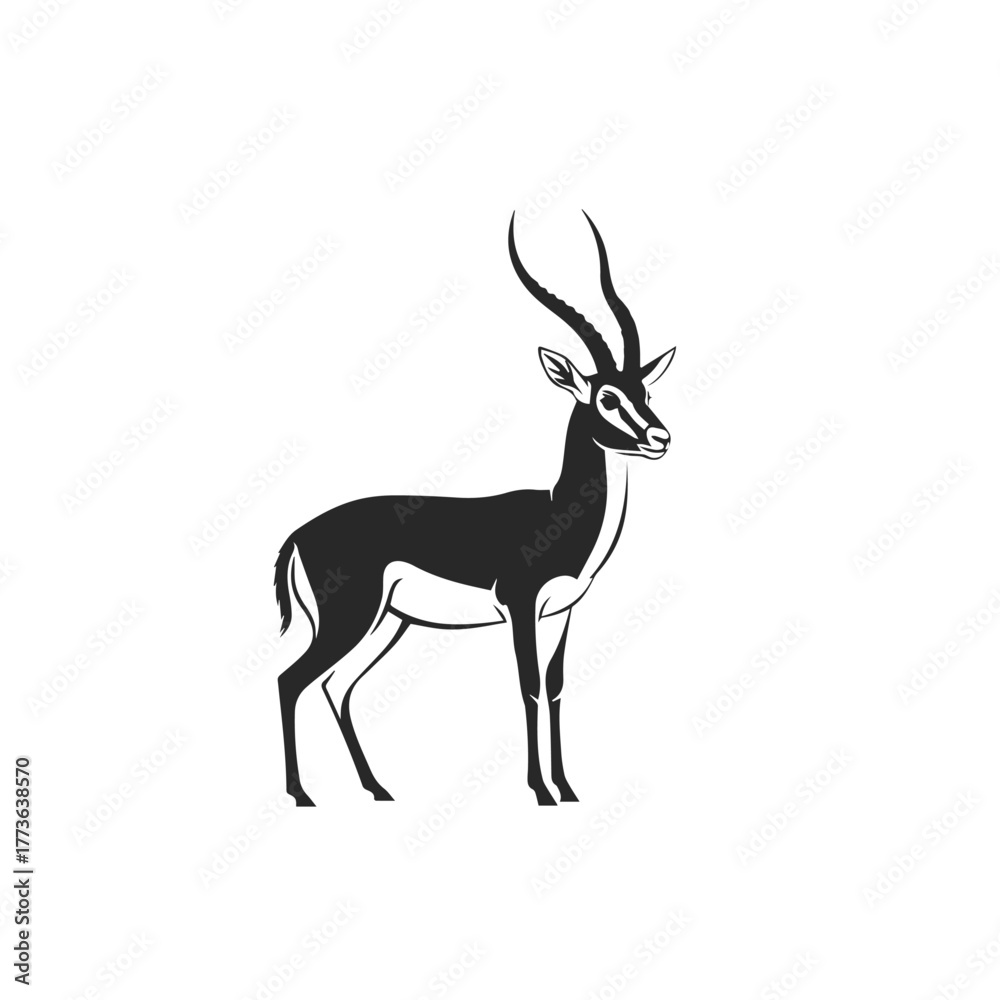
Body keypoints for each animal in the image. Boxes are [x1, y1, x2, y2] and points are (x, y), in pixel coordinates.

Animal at [274, 212, 675, 806]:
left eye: (645, 390)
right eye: (606, 397)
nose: (659, 437)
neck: (556, 514)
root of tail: (299, 533)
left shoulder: (561, 612)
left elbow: (556, 688)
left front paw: (568, 788)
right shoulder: (520, 606)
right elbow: (528, 687)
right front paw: (540, 791)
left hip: (386, 623)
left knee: (336, 686)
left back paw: (378, 789)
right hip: (351, 619)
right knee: (292, 680)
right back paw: (303, 795)